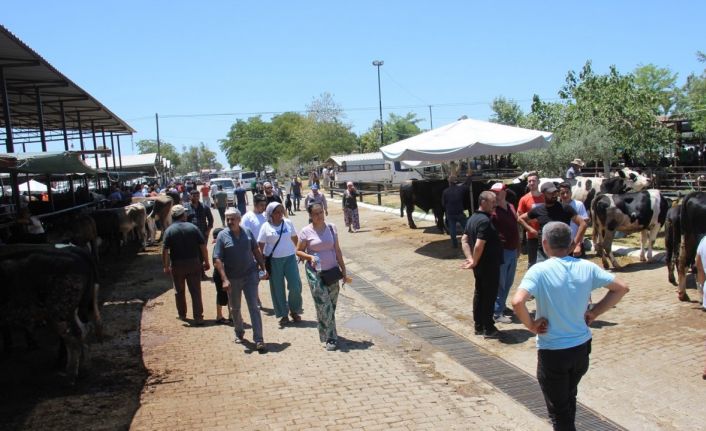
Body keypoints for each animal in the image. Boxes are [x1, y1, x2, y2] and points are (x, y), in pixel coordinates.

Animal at [0, 245, 102, 384]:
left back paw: (70, 374)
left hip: (60, 308)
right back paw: (83, 369)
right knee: (85, 329)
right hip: (74, 308)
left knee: (74, 335)